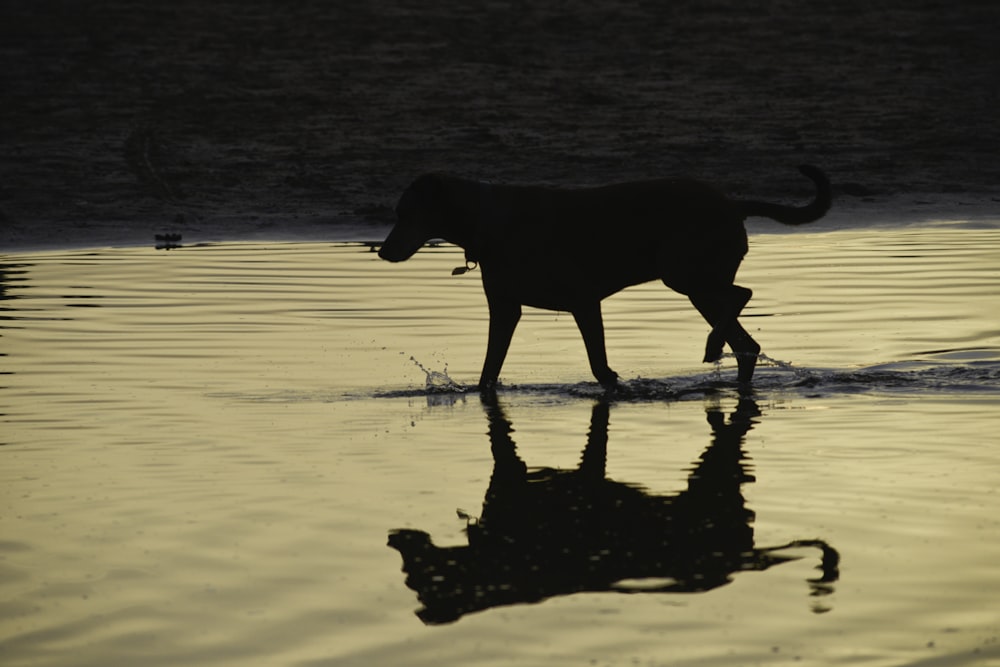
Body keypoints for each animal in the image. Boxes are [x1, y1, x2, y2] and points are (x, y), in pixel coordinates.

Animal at [378, 164, 832, 388]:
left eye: (405, 213)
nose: (382, 252)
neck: (488, 221)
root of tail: (732, 204)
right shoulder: (506, 310)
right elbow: (490, 370)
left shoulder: (583, 301)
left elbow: (599, 364)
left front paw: (613, 385)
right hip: (696, 279)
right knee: (746, 341)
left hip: (685, 273)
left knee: (742, 294)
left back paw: (711, 345)